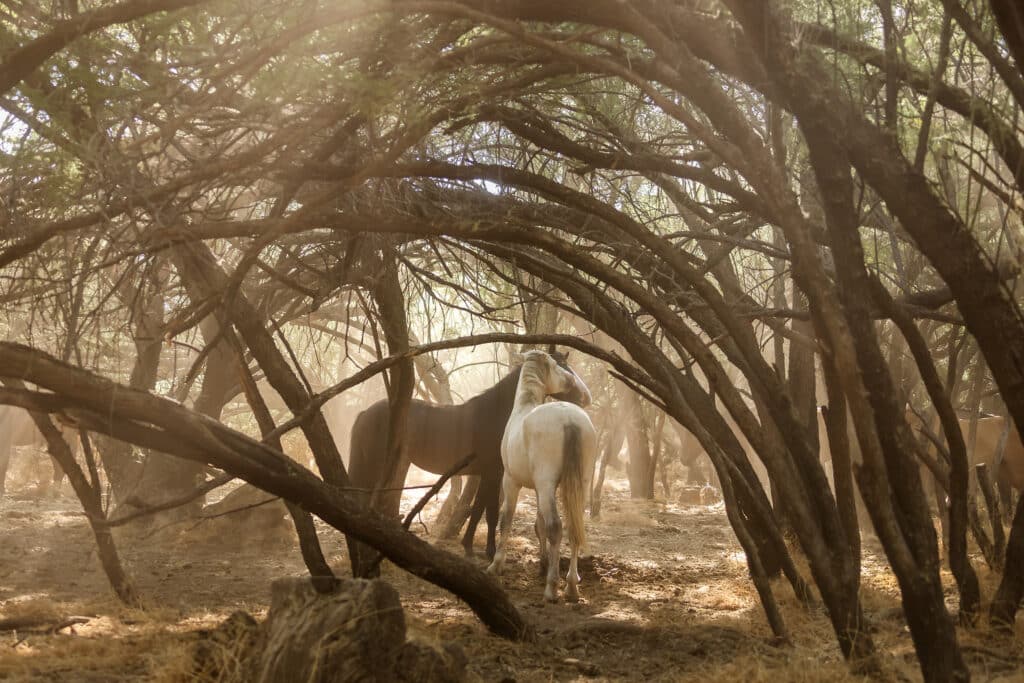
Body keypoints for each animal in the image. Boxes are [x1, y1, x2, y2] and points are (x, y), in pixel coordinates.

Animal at [346, 348, 593, 577]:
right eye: (561, 366)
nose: (585, 397)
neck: (498, 414)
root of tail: (365, 412)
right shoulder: (494, 473)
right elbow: (490, 512)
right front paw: (490, 553)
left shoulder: (484, 474)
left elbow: (477, 508)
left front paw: (469, 546)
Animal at [487, 352, 598, 602]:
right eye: (559, 366)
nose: (585, 396)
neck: (523, 407)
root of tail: (569, 418)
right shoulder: (539, 489)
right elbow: (539, 525)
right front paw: (543, 563)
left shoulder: (511, 482)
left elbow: (506, 519)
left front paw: (496, 565)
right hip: (579, 485)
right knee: (574, 527)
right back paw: (571, 586)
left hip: (546, 485)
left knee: (556, 526)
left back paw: (552, 588)